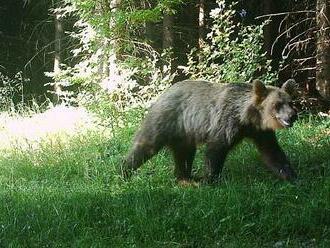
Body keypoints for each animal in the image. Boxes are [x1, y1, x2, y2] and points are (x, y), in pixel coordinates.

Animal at [122, 79, 298, 182]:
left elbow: (273, 153)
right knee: (145, 146)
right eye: (277, 104)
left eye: (291, 102)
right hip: (167, 120)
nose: (292, 115)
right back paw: (125, 171)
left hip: (184, 135)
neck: (248, 118)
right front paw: (210, 179)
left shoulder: (260, 132)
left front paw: (291, 176)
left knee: (184, 155)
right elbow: (216, 149)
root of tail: (164, 93)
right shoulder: (227, 122)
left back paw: (185, 177)